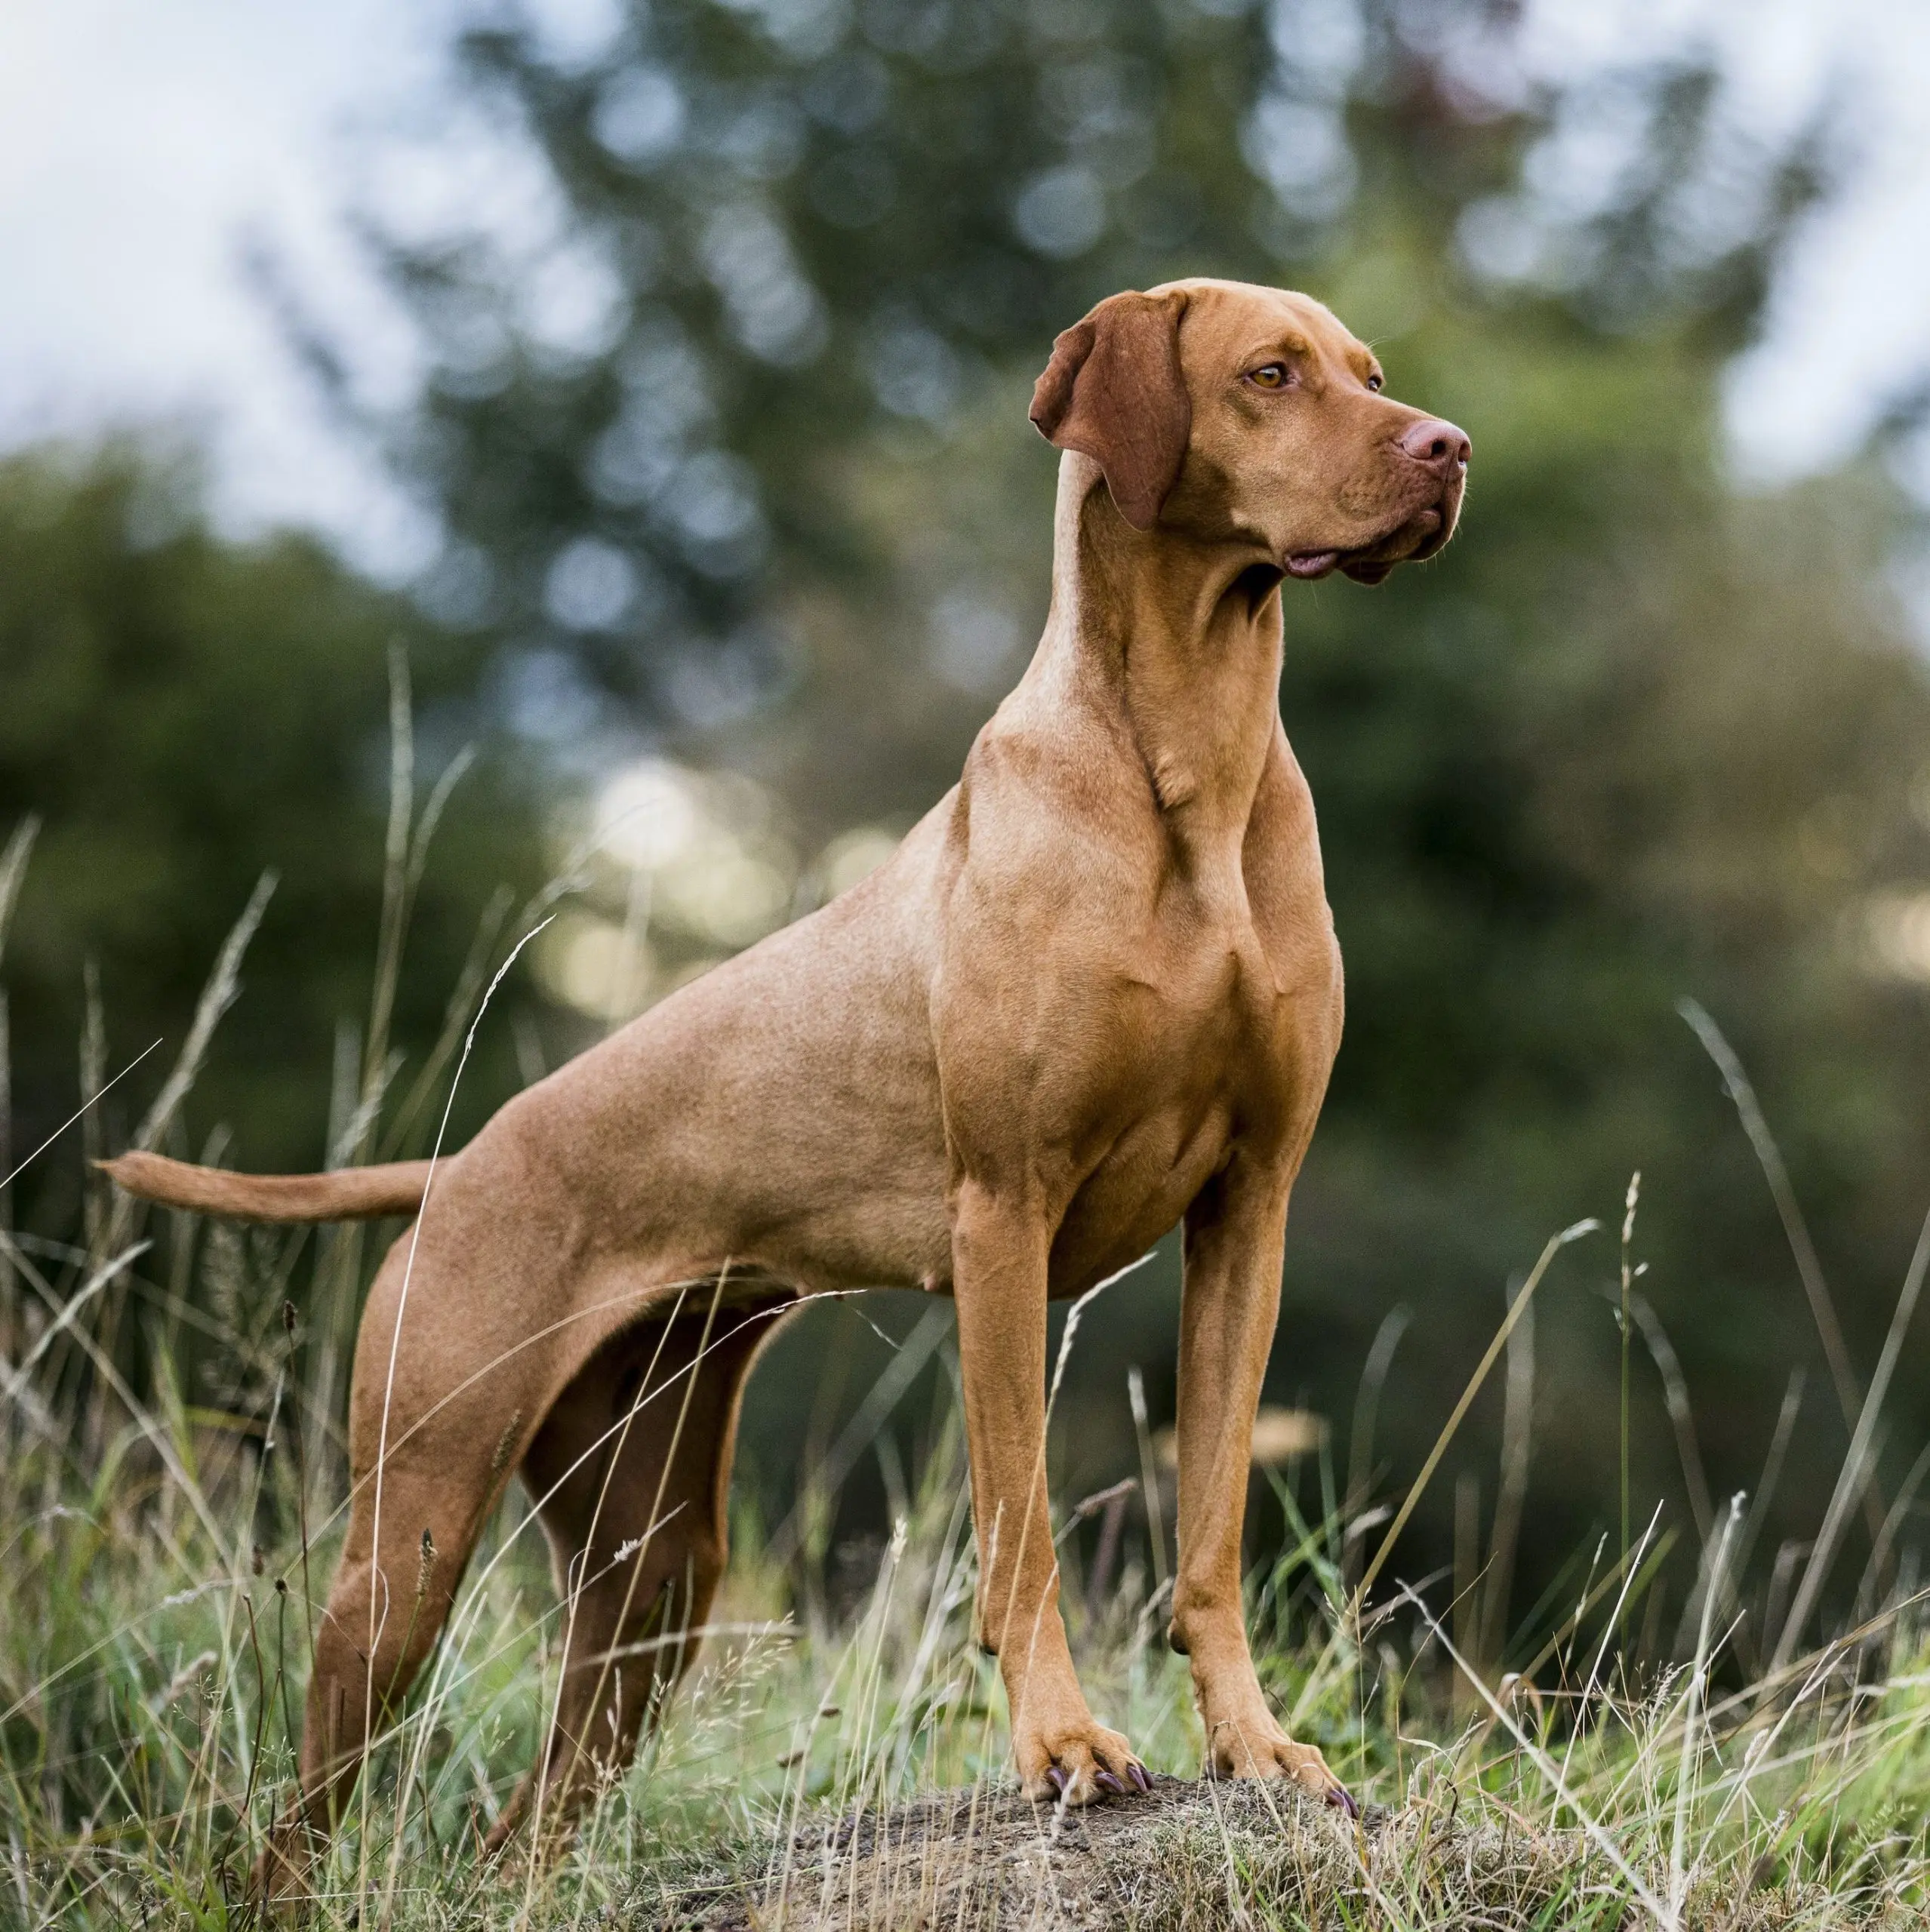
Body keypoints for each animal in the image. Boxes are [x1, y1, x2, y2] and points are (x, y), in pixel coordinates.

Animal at [106, 272, 1461, 1901]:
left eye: (1368, 373)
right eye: (1270, 373)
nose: (1448, 447)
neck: (1186, 764)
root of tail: (459, 1166)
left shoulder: (1247, 1211)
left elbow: (1207, 1535)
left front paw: (1256, 1746)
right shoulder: (1002, 1218)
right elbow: (1018, 1526)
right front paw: (1065, 1745)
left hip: (651, 1571)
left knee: (524, 1822)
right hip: (410, 1538)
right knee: (301, 1817)